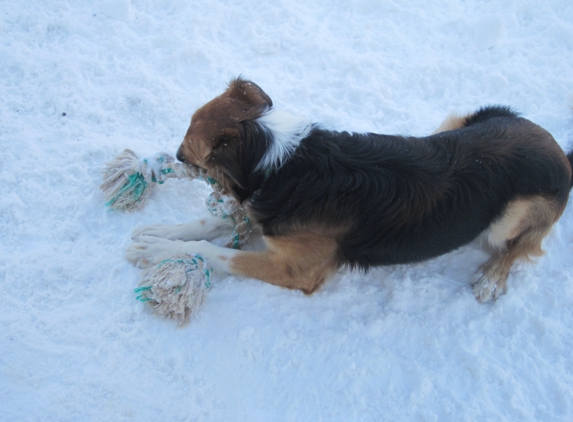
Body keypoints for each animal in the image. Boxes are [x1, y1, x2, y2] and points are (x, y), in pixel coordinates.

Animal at [126, 77, 572, 302]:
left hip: (511, 215)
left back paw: (492, 278)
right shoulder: (268, 217)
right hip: (454, 123)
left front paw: (158, 250)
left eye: (188, 153)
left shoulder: (298, 269)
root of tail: (559, 151)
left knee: (518, 248)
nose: (172, 156)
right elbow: (208, 224)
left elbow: (214, 251)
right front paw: (160, 233)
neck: (283, 162)